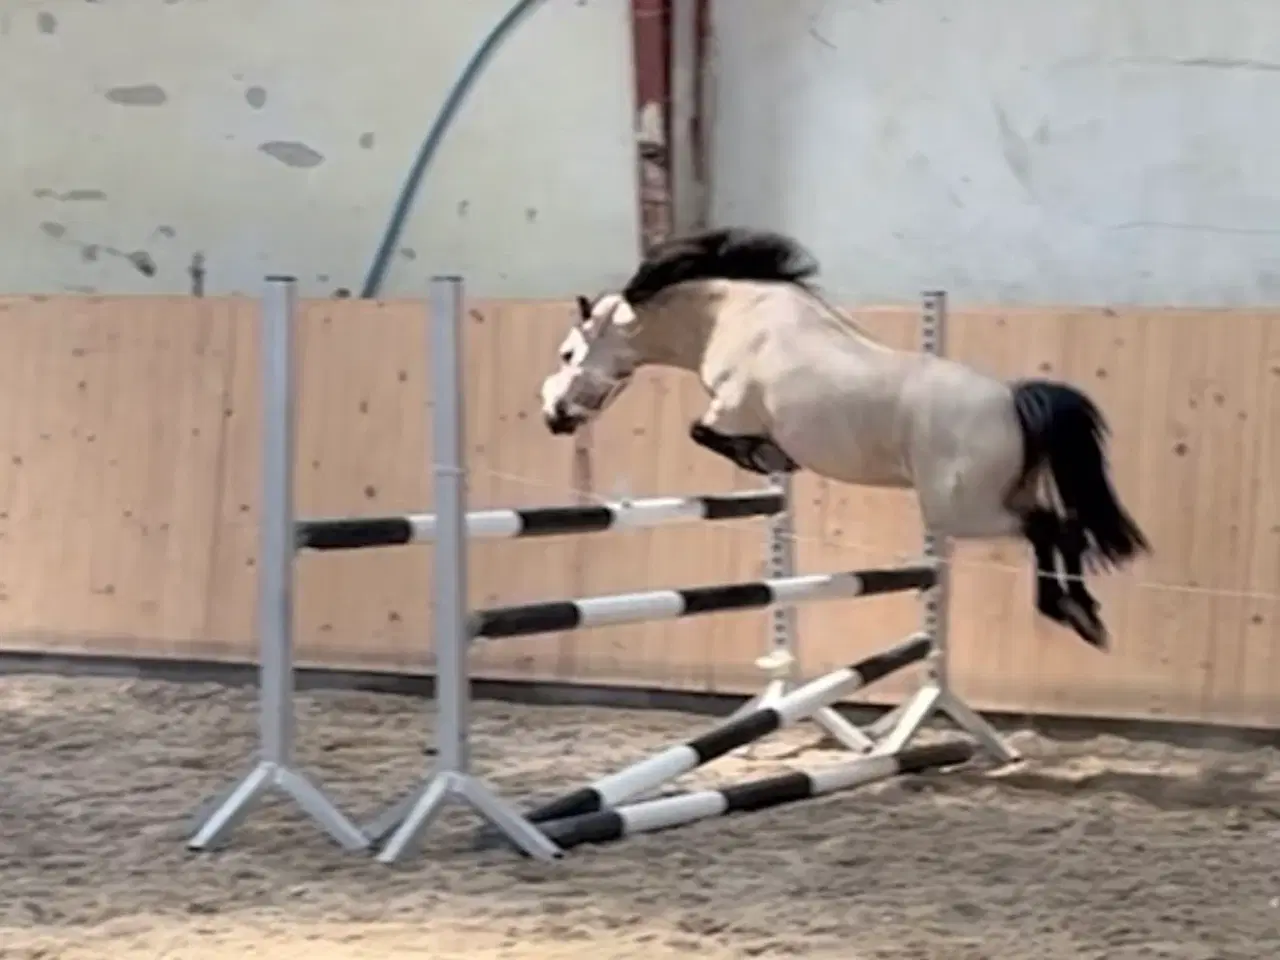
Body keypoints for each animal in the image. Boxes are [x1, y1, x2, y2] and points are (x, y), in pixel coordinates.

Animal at [538, 227, 1150, 650]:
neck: (732, 315)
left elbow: (704, 432)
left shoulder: (730, 409)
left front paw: (766, 457)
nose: (552, 415)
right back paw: (1084, 614)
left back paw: (1070, 613)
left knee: (1051, 526)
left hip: (962, 511)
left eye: (568, 354)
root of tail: (1013, 400)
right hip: (995, 499)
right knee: (1063, 529)